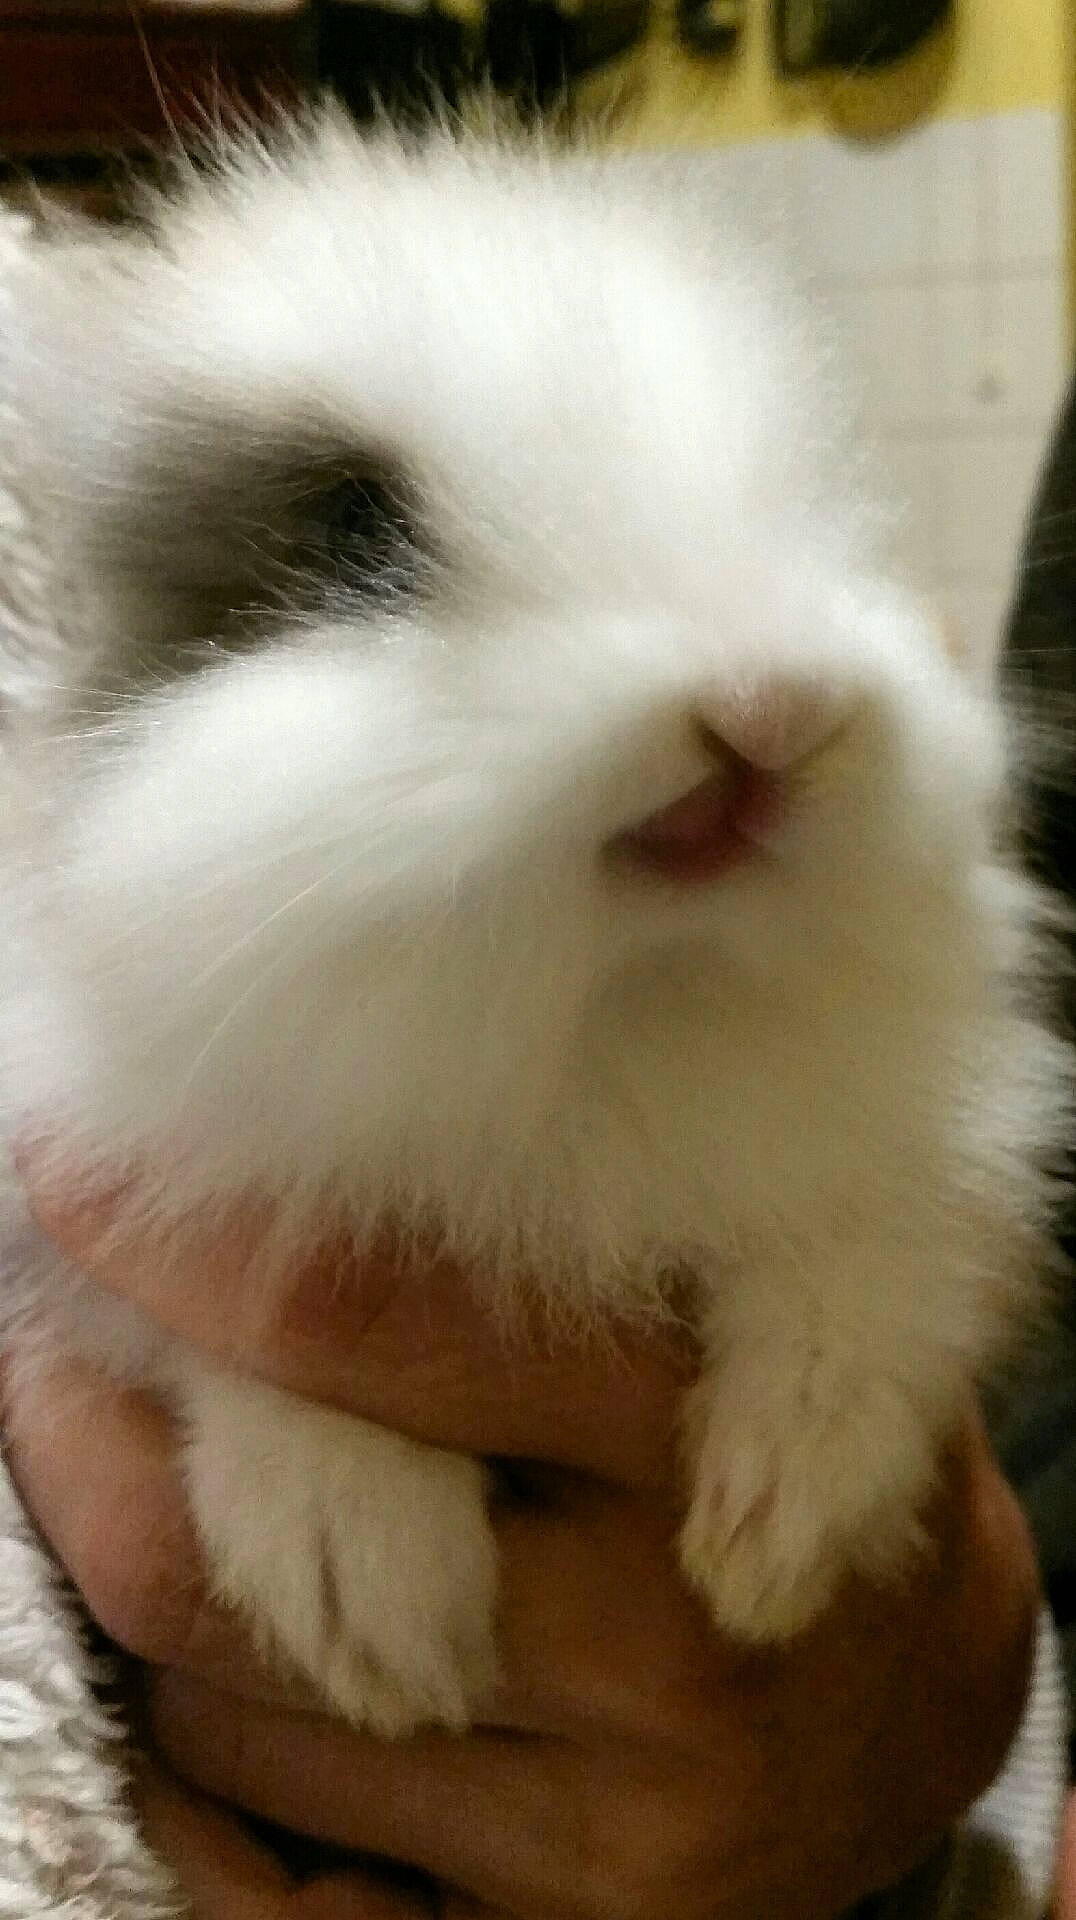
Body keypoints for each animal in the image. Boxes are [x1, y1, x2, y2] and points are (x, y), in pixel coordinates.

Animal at [0, 106, 1068, 1736]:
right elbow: (221, 1351)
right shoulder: (95, 1201)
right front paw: (369, 1601)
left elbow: (866, 1277)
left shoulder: (914, 1157)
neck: (606, 1010)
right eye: (356, 536)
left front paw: (781, 1530)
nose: (772, 709)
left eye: (814, 503)